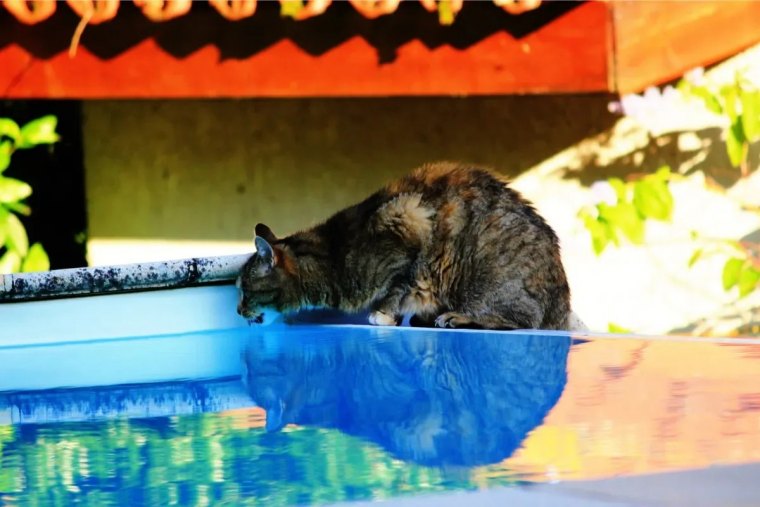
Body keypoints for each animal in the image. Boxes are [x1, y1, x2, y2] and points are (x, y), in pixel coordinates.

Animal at [239, 161, 580, 332]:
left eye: (244, 291)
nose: (238, 310)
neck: (333, 253)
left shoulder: (408, 223)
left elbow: (398, 285)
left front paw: (383, 314)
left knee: (518, 321)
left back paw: (458, 317)